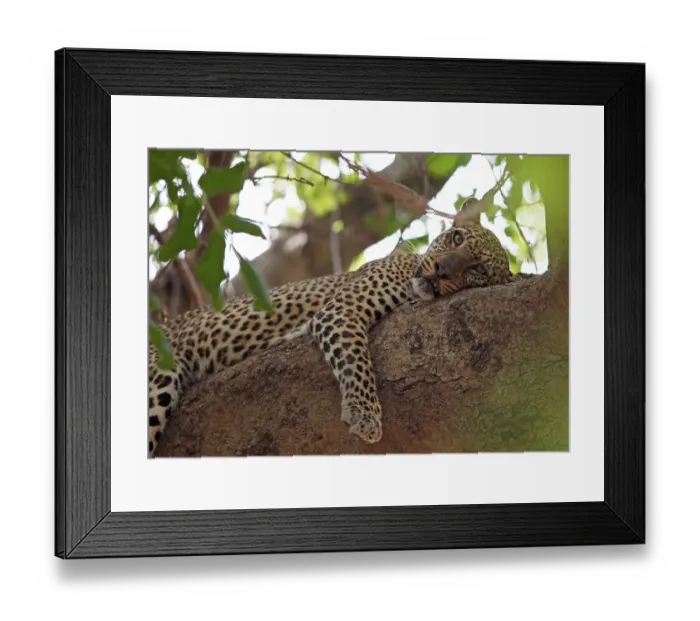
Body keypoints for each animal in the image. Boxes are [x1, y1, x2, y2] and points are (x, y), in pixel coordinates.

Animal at [147, 196, 516, 457]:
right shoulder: (340, 310)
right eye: (456, 238)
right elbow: (357, 362)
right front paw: (365, 416)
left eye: (477, 271)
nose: (441, 270)